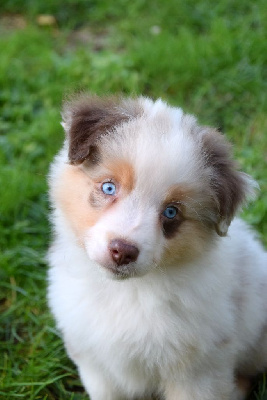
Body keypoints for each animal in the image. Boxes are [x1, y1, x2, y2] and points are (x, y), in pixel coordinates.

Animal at [48, 95, 267, 398]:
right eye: (108, 187)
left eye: (171, 212)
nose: (122, 251)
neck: (129, 293)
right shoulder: (95, 364)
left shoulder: (198, 373)